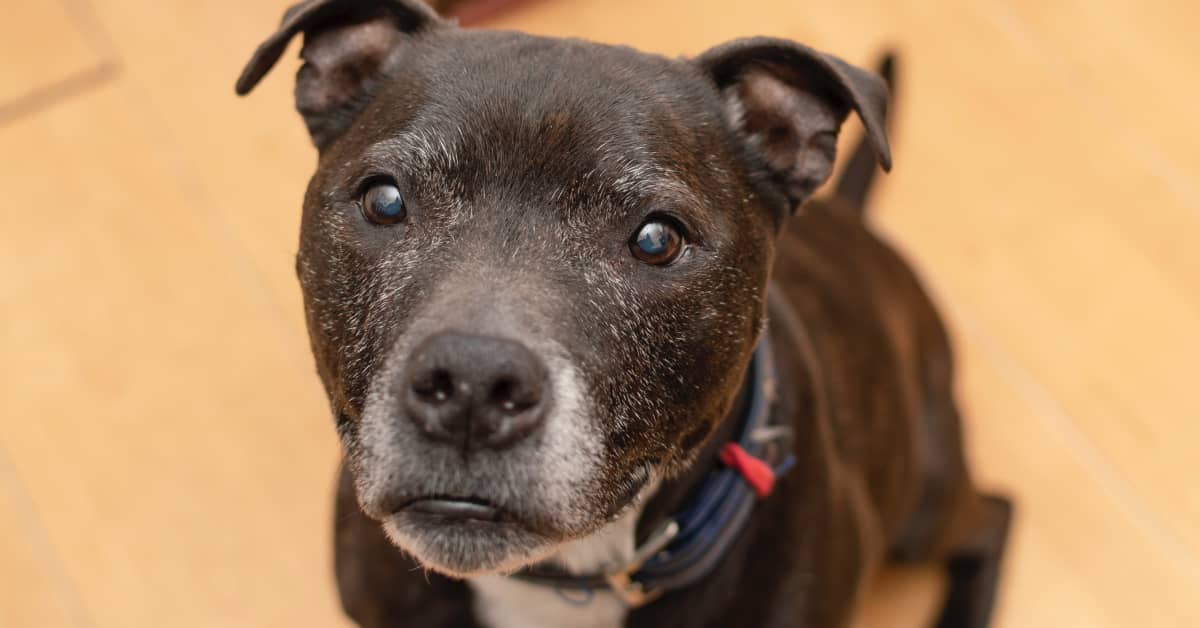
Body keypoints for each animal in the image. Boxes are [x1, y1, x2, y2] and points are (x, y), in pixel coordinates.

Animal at [234, 2, 1012, 624]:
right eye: (385, 200)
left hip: (922, 500)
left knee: (995, 517)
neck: (561, 585)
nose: (473, 385)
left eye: (657, 239)